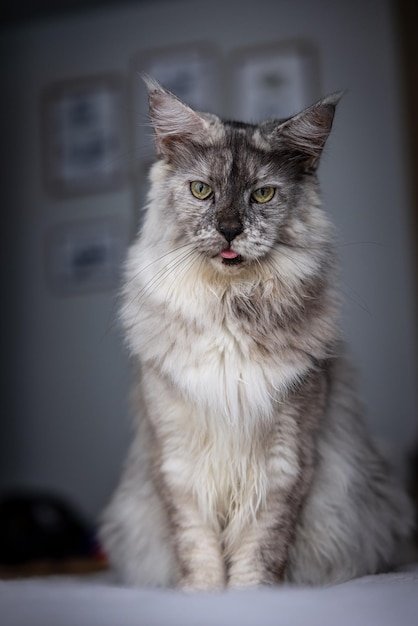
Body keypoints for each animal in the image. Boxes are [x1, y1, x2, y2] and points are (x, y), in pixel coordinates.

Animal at [99, 75, 414, 588]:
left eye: (262, 195)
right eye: (201, 190)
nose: (230, 230)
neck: (229, 308)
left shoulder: (285, 460)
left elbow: (258, 551)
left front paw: (252, 596)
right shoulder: (177, 460)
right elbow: (198, 551)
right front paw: (202, 594)